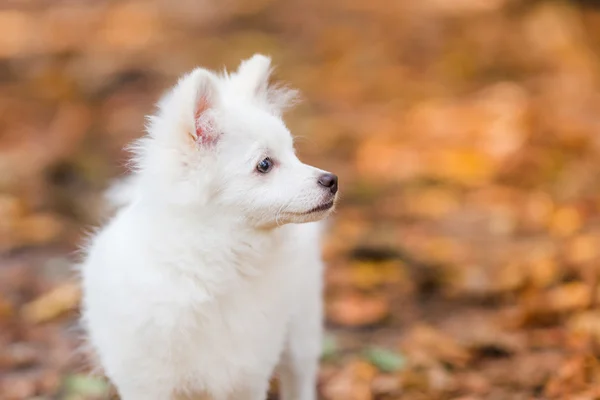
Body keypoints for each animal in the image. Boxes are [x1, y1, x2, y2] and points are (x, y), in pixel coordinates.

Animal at [79, 54, 338, 400]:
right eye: (265, 165)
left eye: (294, 153)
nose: (332, 180)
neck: (213, 266)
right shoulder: (148, 380)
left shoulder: (246, 375)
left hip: (301, 329)